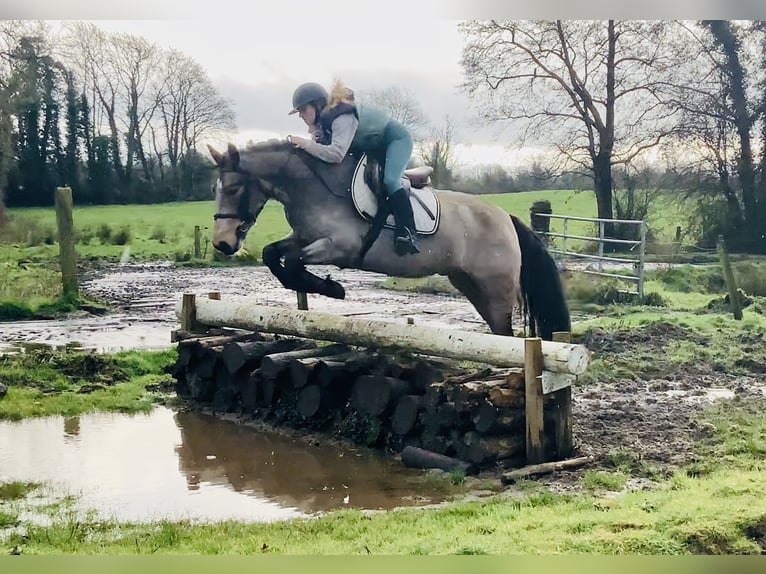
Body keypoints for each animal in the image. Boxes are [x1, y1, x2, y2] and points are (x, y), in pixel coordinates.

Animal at [207, 140, 570, 340]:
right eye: (215, 189)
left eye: (234, 188)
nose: (222, 244)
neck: (314, 188)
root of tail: (506, 217)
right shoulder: (304, 237)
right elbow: (273, 255)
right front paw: (316, 286)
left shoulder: (340, 247)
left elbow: (294, 262)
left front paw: (332, 288)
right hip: (469, 284)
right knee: (498, 332)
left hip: (496, 289)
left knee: (507, 335)